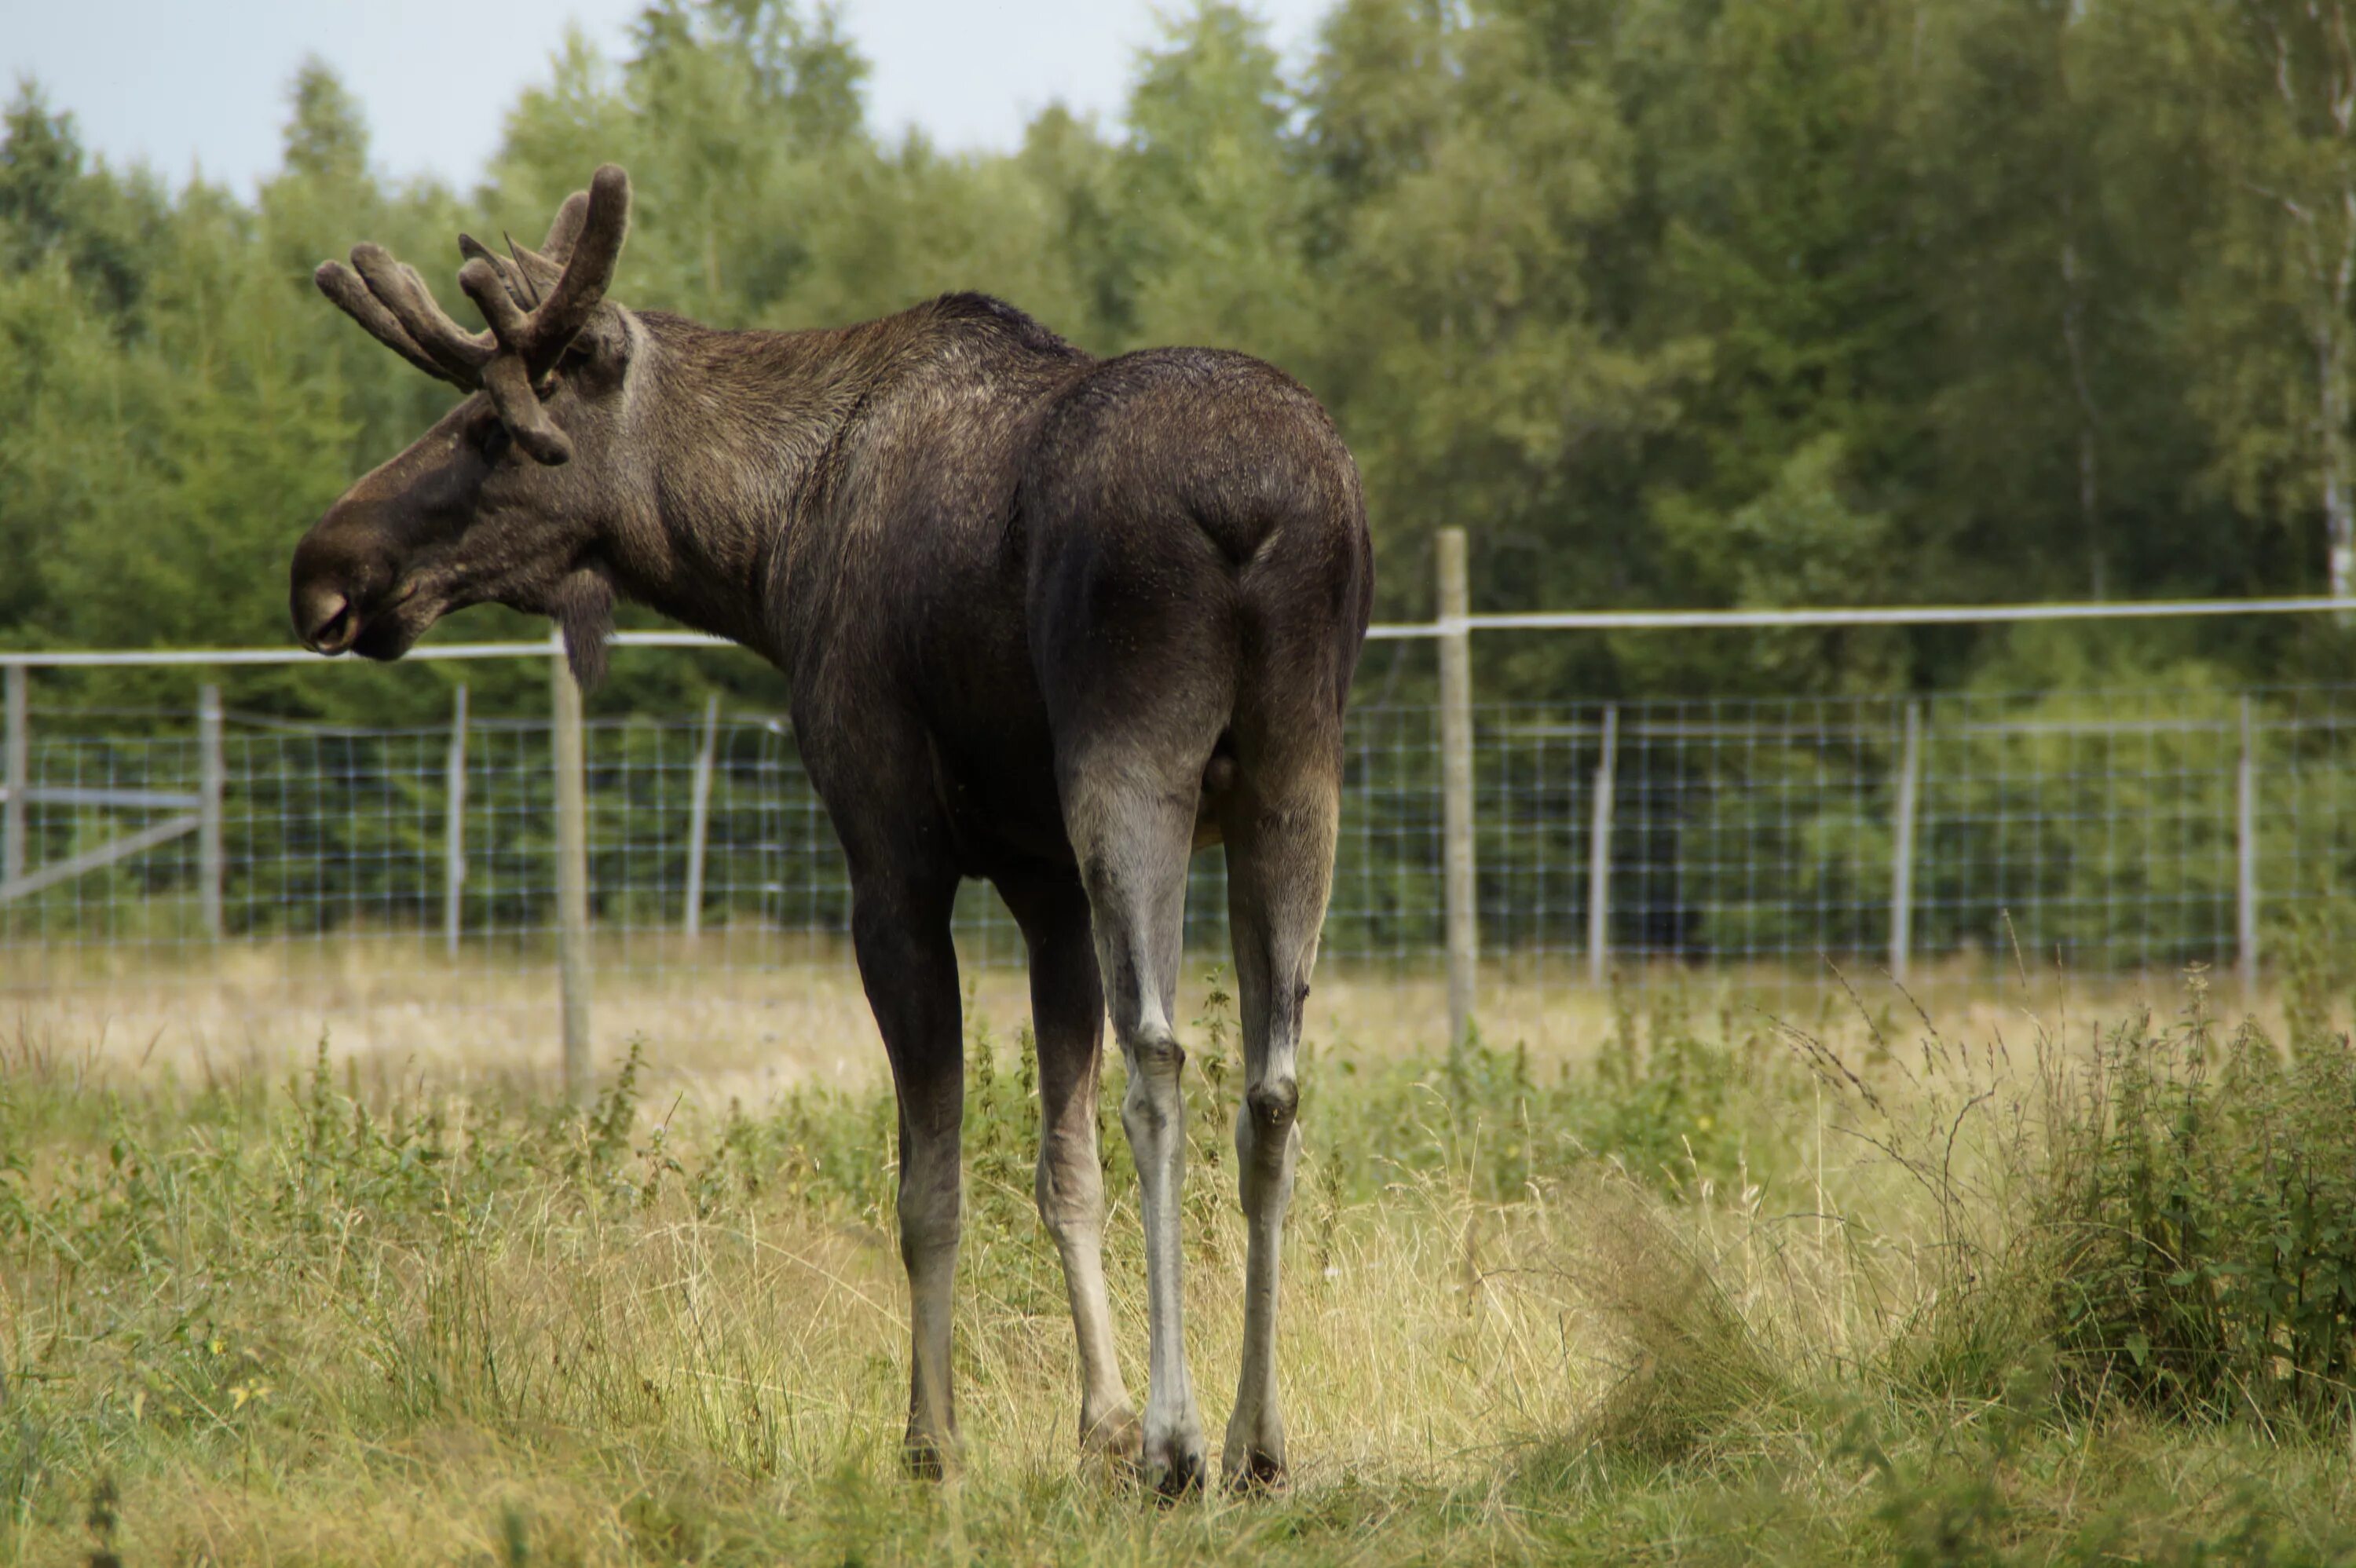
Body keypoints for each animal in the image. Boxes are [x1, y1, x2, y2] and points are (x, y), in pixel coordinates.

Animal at [285, 164, 1376, 1488]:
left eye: (490, 429)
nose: (324, 568)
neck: (764, 548)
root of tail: (1255, 507)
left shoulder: (890, 850)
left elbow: (929, 1181)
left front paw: (938, 1438)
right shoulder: (1040, 879)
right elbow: (1060, 1166)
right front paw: (1097, 1423)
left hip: (1133, 762)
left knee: (1162, 1056)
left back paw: (1183, 1440)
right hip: (1298, 775)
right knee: (1273, 1083)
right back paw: (1258, 1438)